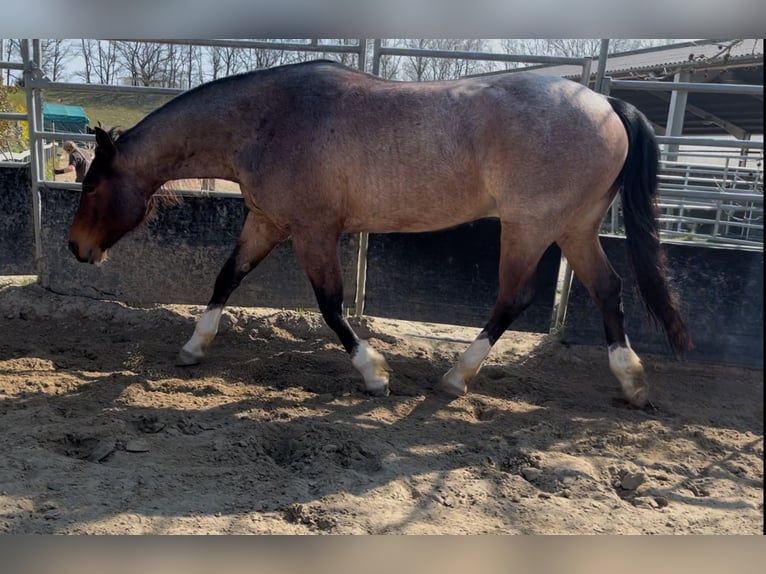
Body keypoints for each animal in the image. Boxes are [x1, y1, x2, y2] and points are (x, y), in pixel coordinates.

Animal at [69, 60, 692, 407]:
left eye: (92, 183)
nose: (76, 248)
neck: (268, 122)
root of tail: (606, 102)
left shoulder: (314, 232)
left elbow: (331, 305)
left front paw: (375, 375)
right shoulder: (267, 221)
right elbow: (227, 277)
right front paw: (193, 348)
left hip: (531, 228)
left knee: (514, 298)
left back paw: (454, 378)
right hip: (574, 226)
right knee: (607, 289)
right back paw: (632, 385)